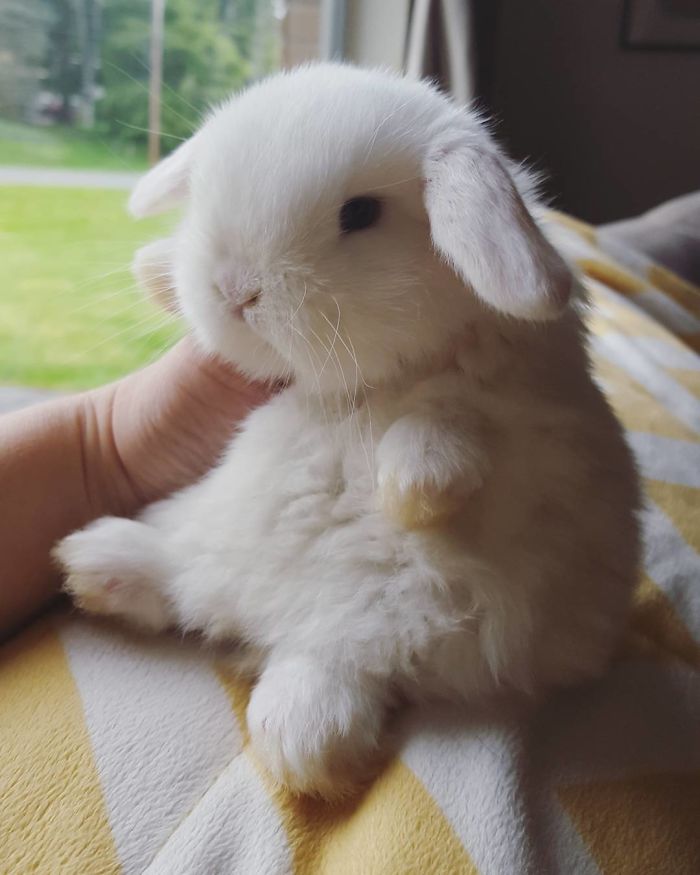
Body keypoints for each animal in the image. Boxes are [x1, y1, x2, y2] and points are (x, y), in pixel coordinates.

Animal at [55, 63, 641, 798]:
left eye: (360, 214)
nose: (234, 290)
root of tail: (269, 610)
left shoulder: (514, 400)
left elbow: (451, 419)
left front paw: (414, 491)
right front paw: (155, 270)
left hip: (380, 626)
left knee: (326, 668)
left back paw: (302, 745)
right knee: (185, 577)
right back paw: (99, 561)